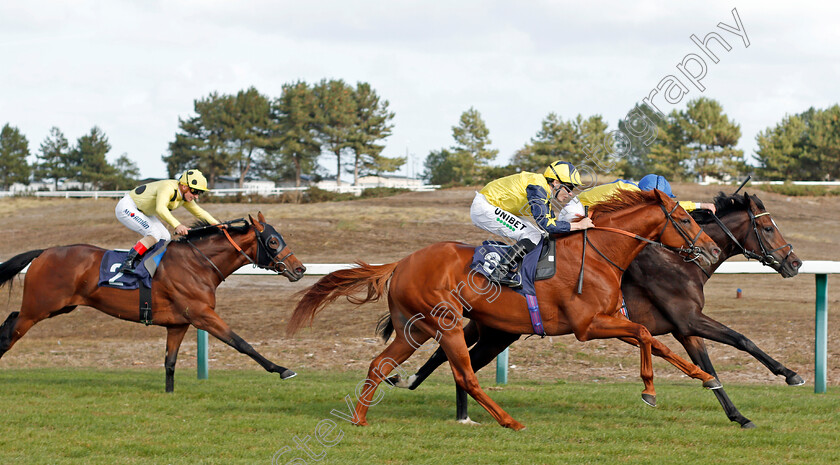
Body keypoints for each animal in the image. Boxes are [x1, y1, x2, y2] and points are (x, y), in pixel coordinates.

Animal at [0, 214, 306, 392]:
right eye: (273, 241)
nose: (300, 269)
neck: (197, 265)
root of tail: (44, 251)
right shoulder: (202, 315)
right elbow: (241, 343)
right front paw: (282, 370)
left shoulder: (179, 324)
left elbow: (170, 362)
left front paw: (169, 394)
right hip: (40, 307)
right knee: (11, 332)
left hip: (58, 306)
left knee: (11, 318)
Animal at [288, 188, 720, 428]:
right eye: (684, 219)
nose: (713, 249)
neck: (600, 252)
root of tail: (402, 262)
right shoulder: (589, 325)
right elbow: (647, 335)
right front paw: (649, 389)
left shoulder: (610, 319)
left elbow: (655, 341)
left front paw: (704, 376)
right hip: (445, 323)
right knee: (465, 376)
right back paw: (510, 422)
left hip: (417, 328)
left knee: (380, 365)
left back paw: (360, 418)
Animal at [390, 191, 804, 428]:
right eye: (769, 229)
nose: (795, 262)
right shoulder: (683, 319)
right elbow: (741, 339)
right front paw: (790, 375)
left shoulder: (683, 327)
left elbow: (709, 365)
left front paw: (738, 414)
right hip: (495, 330)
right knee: (455, 361)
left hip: (498, 331)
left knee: (459, 361)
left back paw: (453, 406)